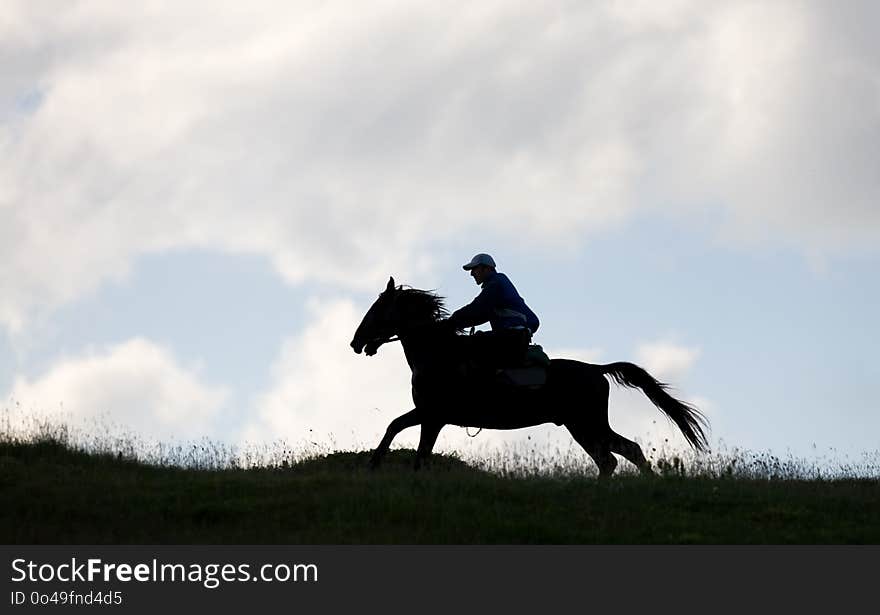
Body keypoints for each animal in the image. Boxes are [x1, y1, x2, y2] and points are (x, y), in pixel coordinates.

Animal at [348, 278, 708, 476]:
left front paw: (373, 466)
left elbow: (408, 441)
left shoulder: (432, 415)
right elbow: (398, 430)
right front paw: (374, 465)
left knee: (614, 456)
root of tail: (596, 369)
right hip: (584, 426)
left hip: (585, 423)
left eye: (377, 309)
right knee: (618, 455)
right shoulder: (429, 415)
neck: (438, 354)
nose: (356, 342)